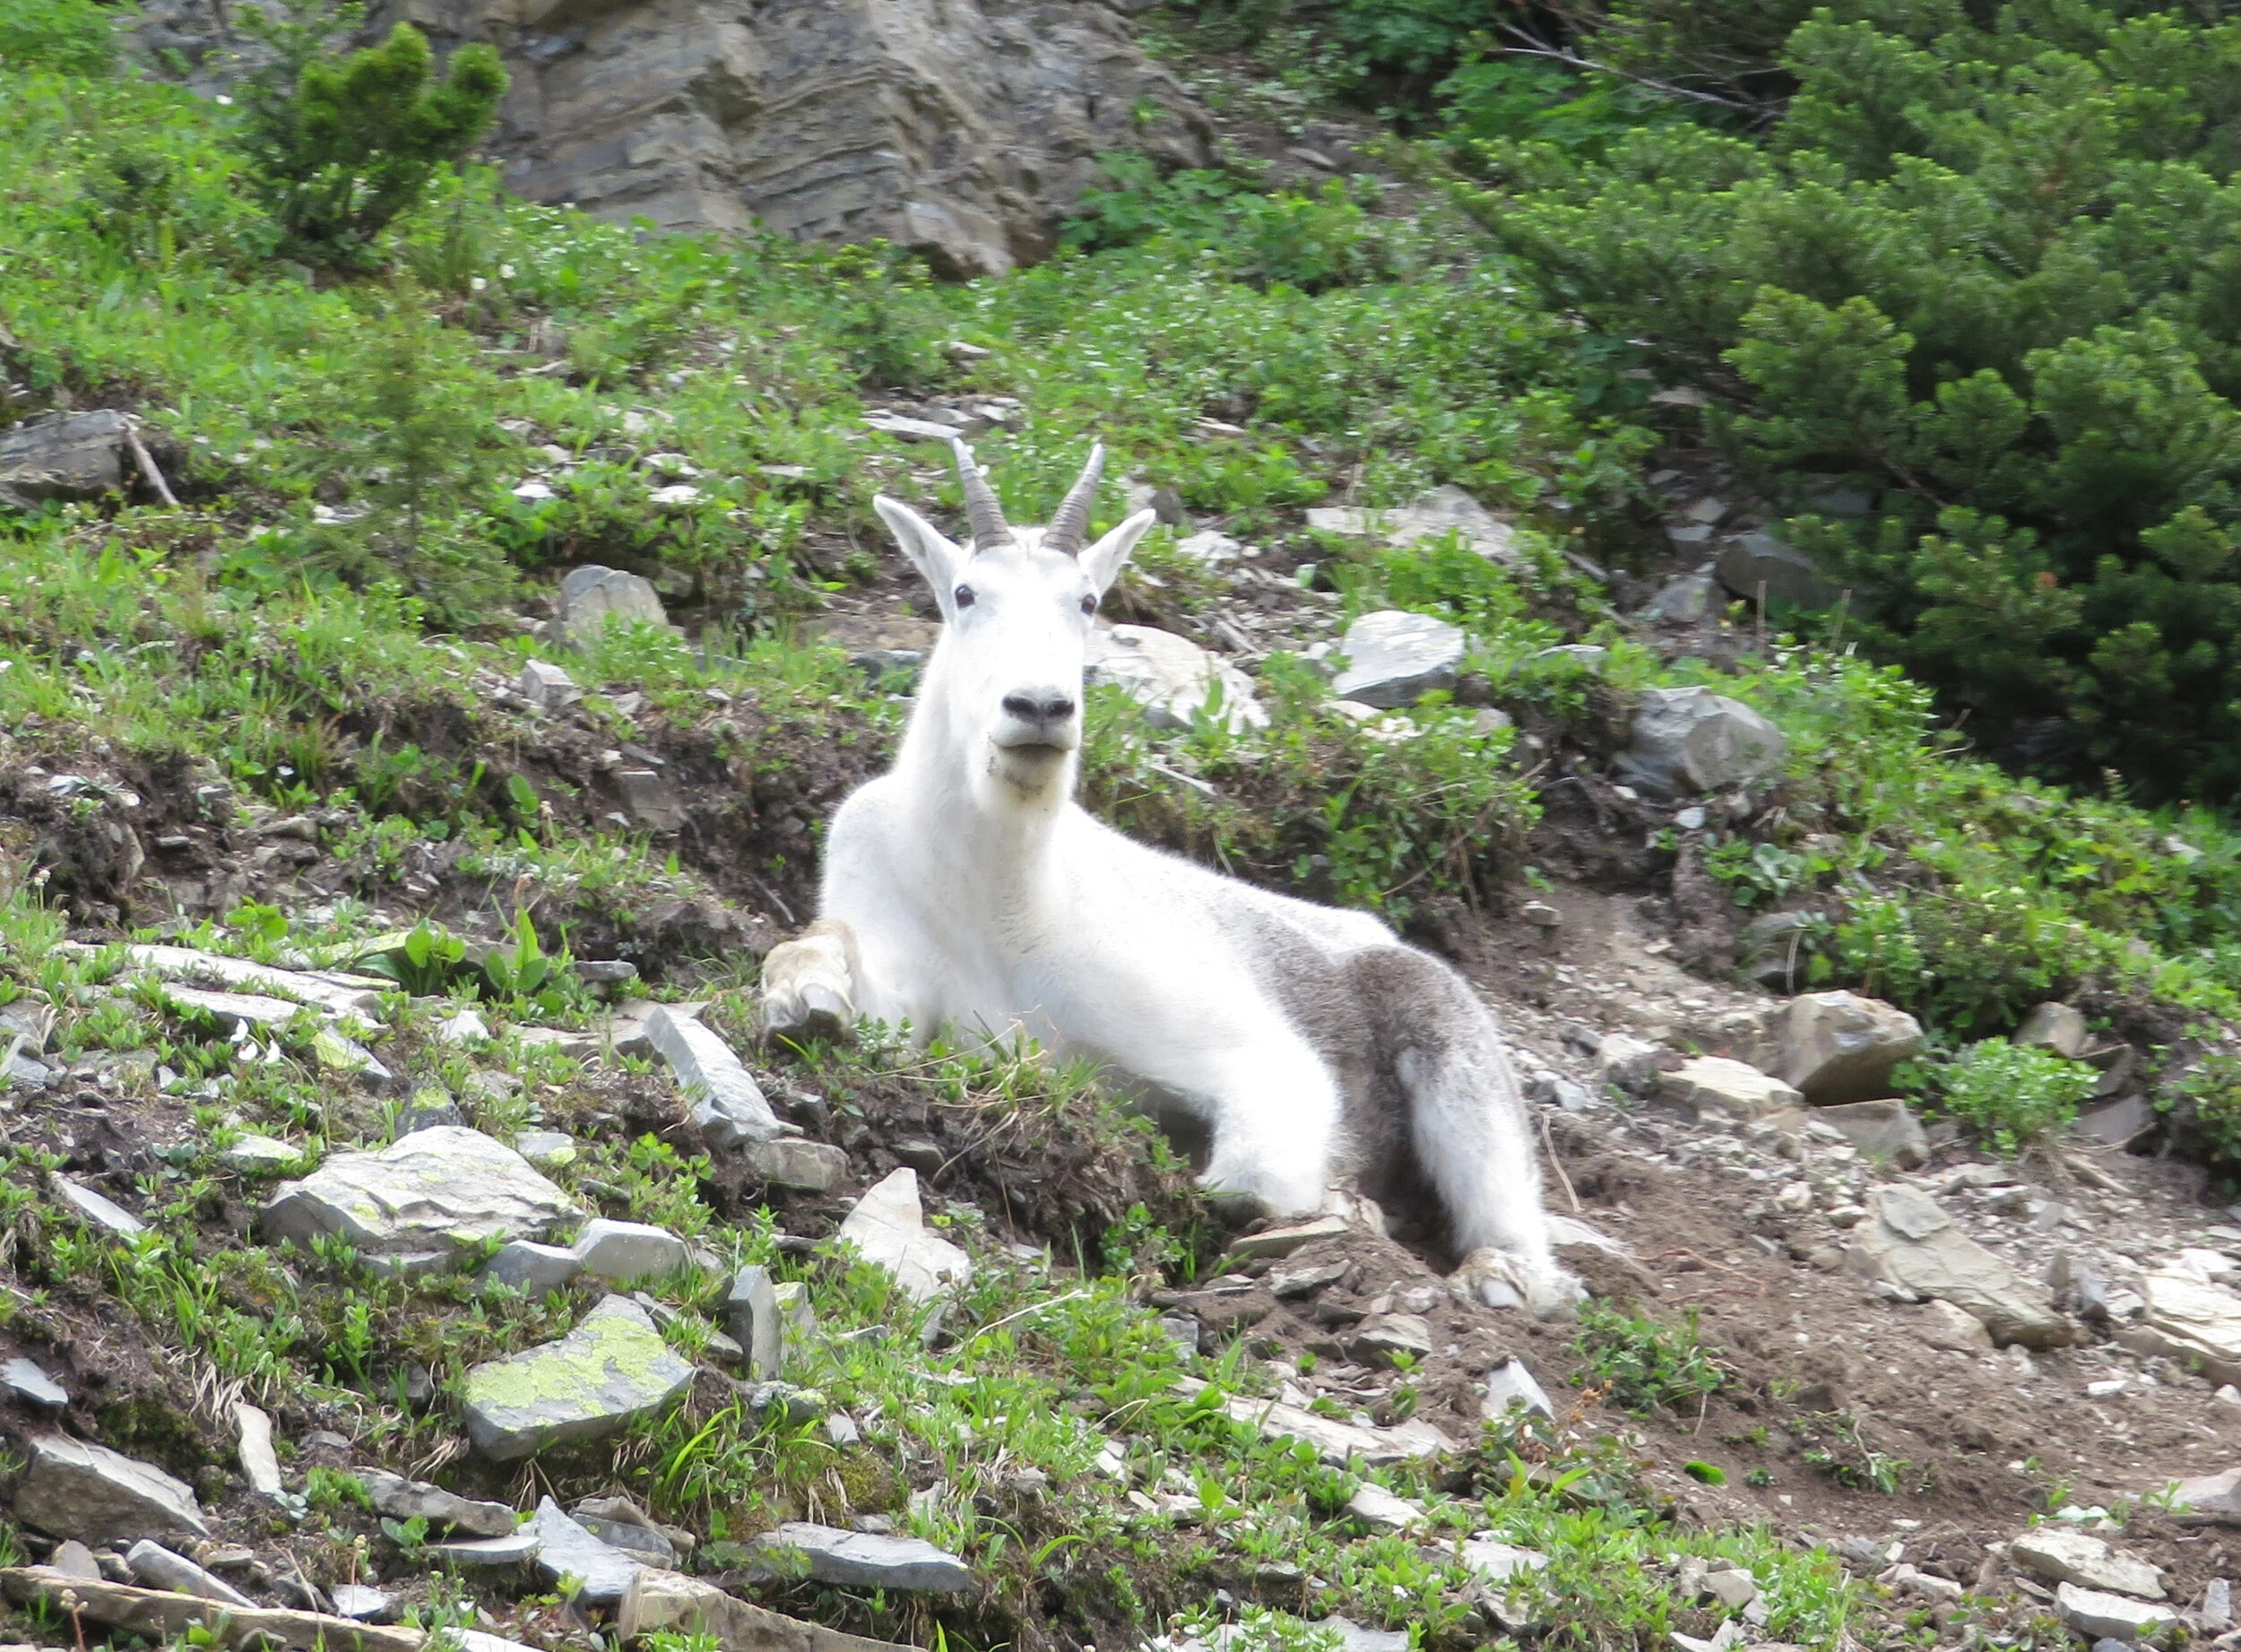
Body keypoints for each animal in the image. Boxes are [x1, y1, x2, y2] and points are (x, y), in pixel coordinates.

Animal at [759, 440, 1580, 1314]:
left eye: (1087, 600)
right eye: (965, 592)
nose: (1039, 708)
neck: (1000, 888)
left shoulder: (1246, 1050)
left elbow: (1251, 1176)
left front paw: (1328, 1200)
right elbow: (822, 953)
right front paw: (804, 1000)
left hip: (1452, 1045)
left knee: (1528, 1242)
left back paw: (1496, 1272)